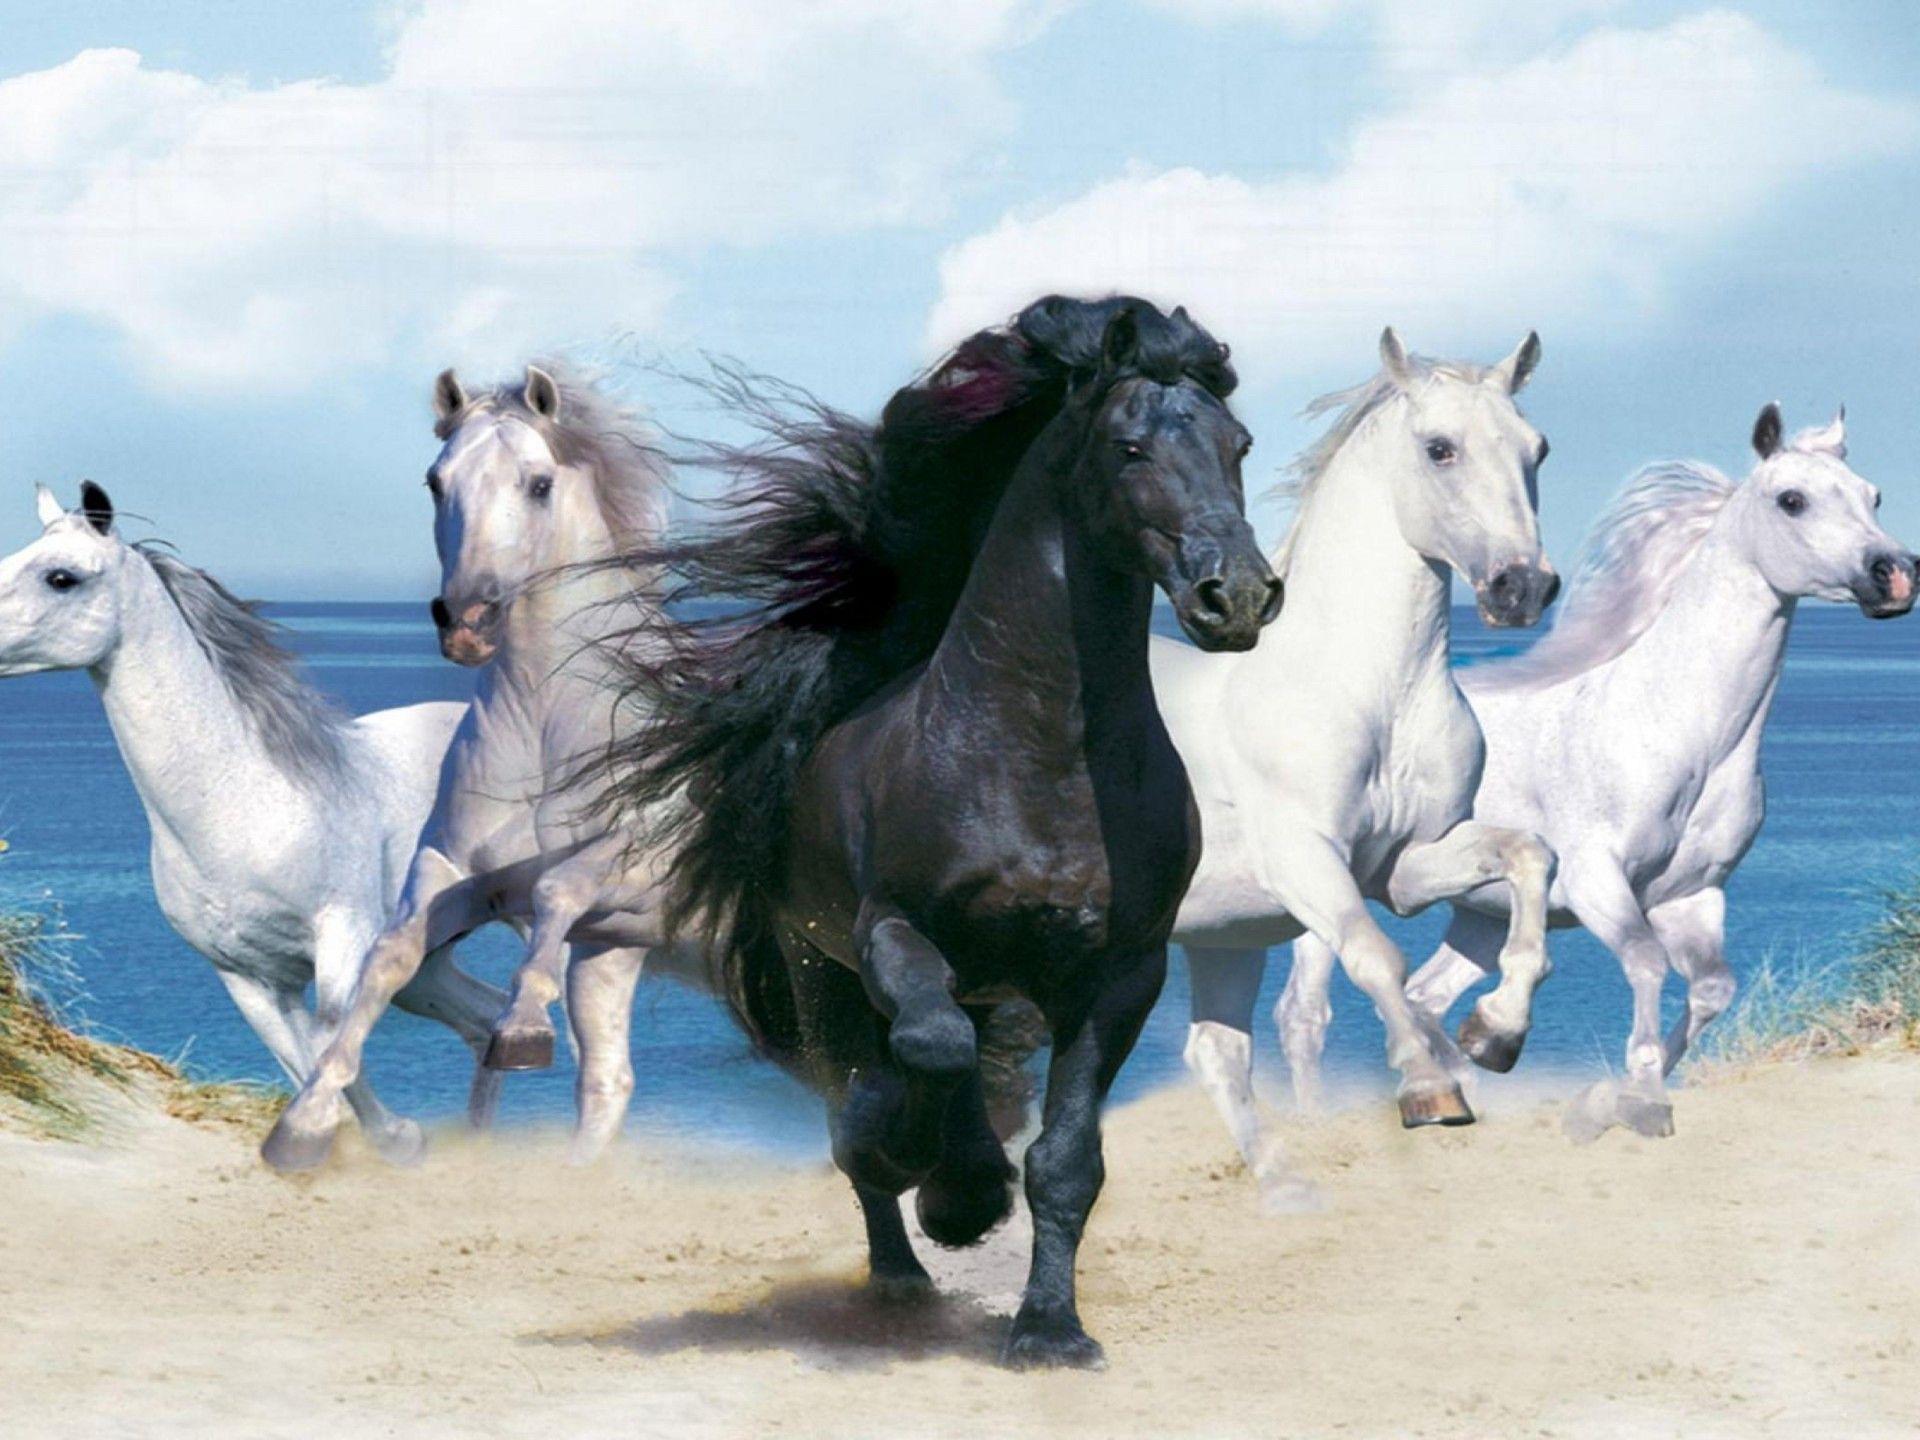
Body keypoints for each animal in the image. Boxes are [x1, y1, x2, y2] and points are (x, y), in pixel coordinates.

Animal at [0, 483, 508, 1160]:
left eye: (61, 577)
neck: (242, 802)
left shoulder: (342, 941)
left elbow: (332, 1048)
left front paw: (396, 1138)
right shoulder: (247, 977)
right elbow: (306, 1063)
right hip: (426, 965)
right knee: (489, 1019)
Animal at [261, 363, 698, 1172]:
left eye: (538, 484)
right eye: (435, 481)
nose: (468, 621)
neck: (549, 728)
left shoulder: (639, 864)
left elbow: (560, 889)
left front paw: (520, 1029)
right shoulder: (466, 875)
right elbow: (390, 955)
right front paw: (301, 1124)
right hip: (616, 959)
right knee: (608, 1081)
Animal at [602, 295, 1280, 1369]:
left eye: (1237, 445)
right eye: (1129, 446)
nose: (1239, 595)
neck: (1040, 761)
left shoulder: (1119, 974)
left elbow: (1064, 1162)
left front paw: (1050, 1330)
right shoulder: (892, 933)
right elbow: (924, 1053)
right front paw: (948, 1190)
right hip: (820, 969)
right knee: (873, 1090)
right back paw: (904, 1260)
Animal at [1161, 328, 1560, 1210]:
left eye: (1538, 448)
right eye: (1439, 448)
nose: (1522, 587)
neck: (1371, 692)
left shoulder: (1407, 865)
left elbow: (1529, 856)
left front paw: (1496, 1033)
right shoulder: (1305, 858)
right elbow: (1375, 956)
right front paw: (1429, 1089)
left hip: (1223, 934)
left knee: (1215, 1051)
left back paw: (1285, 1188)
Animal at [1279, 404, 1917, 1140]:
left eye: (1873, 495)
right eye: (1792, 500)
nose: (1895, 573)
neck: (1680, 731)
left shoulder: (1695, 896)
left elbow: (1711, 990)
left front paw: (1616, 1088)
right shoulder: (1597, 882)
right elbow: (1644, 961)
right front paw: (1630, 1095)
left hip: (1478, 914)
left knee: (1425, 993)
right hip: (1324, 899)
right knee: (1305, 1013)